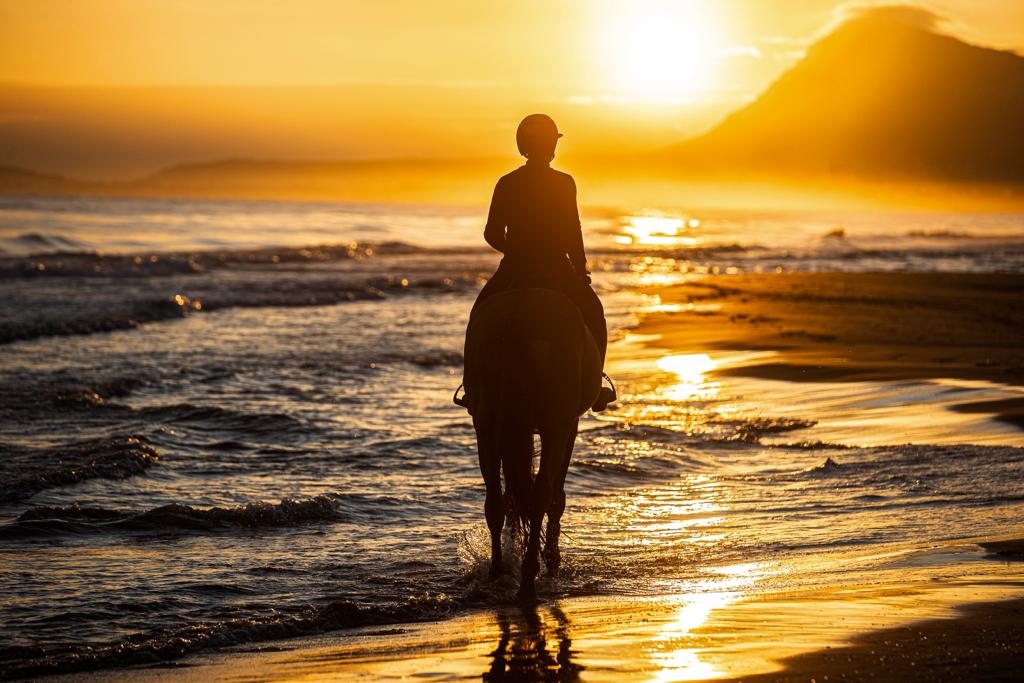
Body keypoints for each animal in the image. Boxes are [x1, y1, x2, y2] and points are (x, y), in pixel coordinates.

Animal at [464, 286, 598, 598]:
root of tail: (516, 316)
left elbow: (512, 497)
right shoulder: (569, 425)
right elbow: (555, 497)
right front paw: (552, 559)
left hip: (487, 424)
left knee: (495, 500)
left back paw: (498, 572)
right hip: (555, 424)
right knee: (541, 494)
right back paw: (529, 576)